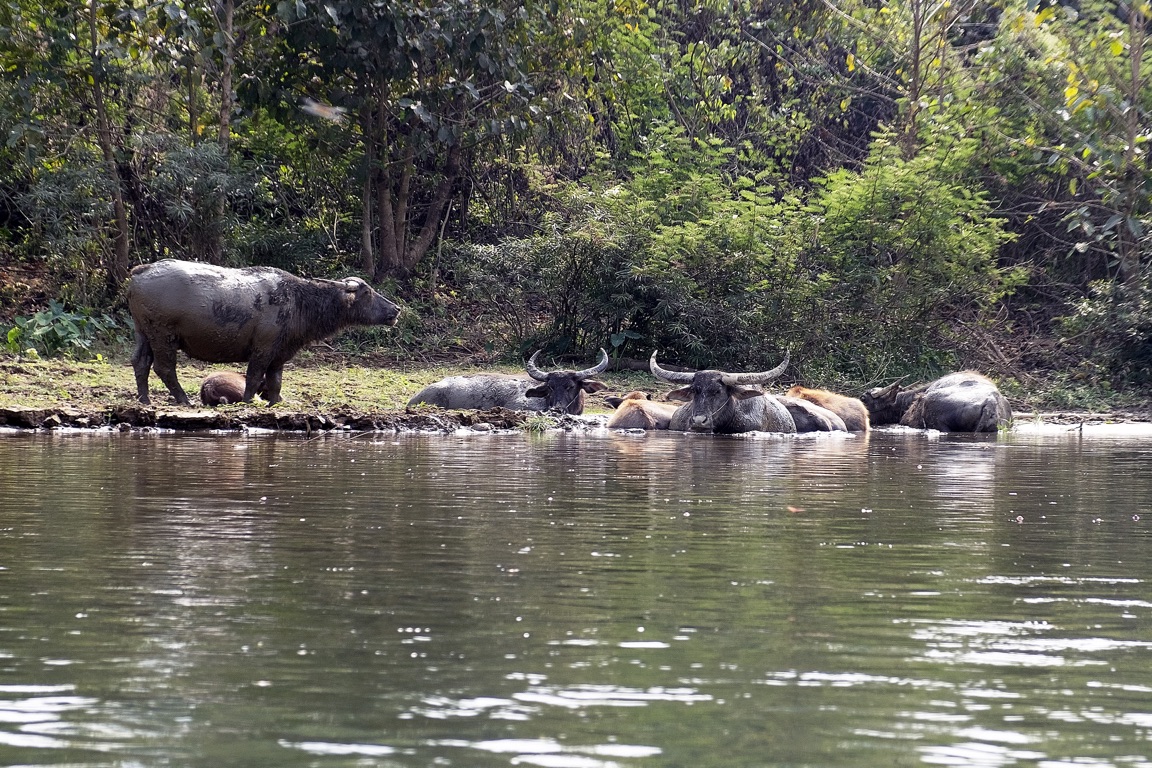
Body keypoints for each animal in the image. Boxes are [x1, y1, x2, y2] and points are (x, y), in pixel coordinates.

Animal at [127, 257, 400, 405]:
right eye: (367, 292)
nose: (396, 309)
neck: (298, 301)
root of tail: (141, 271)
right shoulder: (263, 349)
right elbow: (254, 376)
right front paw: (250, 400)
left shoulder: (280, 353)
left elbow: (275, 381)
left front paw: (276, 401)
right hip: (164, 336)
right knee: (164, 368)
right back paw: (183, 398)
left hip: (144, 333)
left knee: (140, 362)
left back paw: (144, 398)